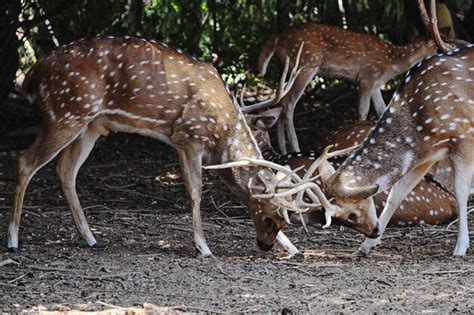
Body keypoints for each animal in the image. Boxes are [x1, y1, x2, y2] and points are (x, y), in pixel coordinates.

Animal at [9, 35, 308, 256]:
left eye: (284, 221)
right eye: (270, 218)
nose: (265, 245)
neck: (222, 133)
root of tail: (31, 76)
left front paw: (293, 248)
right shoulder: (188, 136)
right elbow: (195, 191)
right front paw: (203, 247)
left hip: (89, 126)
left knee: (65, 170)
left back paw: (92, 239)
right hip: (65, 113)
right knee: (25, 161)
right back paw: (13, 240)